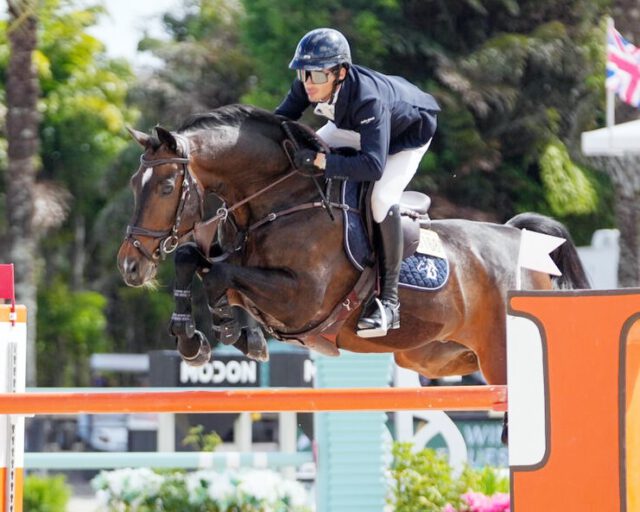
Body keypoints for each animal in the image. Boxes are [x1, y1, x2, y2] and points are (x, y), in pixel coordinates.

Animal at [117, 104, 590, 387]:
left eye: (165, 187)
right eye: (133, 183)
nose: (129, 266)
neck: (280, 200)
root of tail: (523, 242)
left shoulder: (301, 299)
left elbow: (218, 273)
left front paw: (225, 330)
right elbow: (191, 259)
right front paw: (194, 337)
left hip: (501, 357)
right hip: (439, 357)